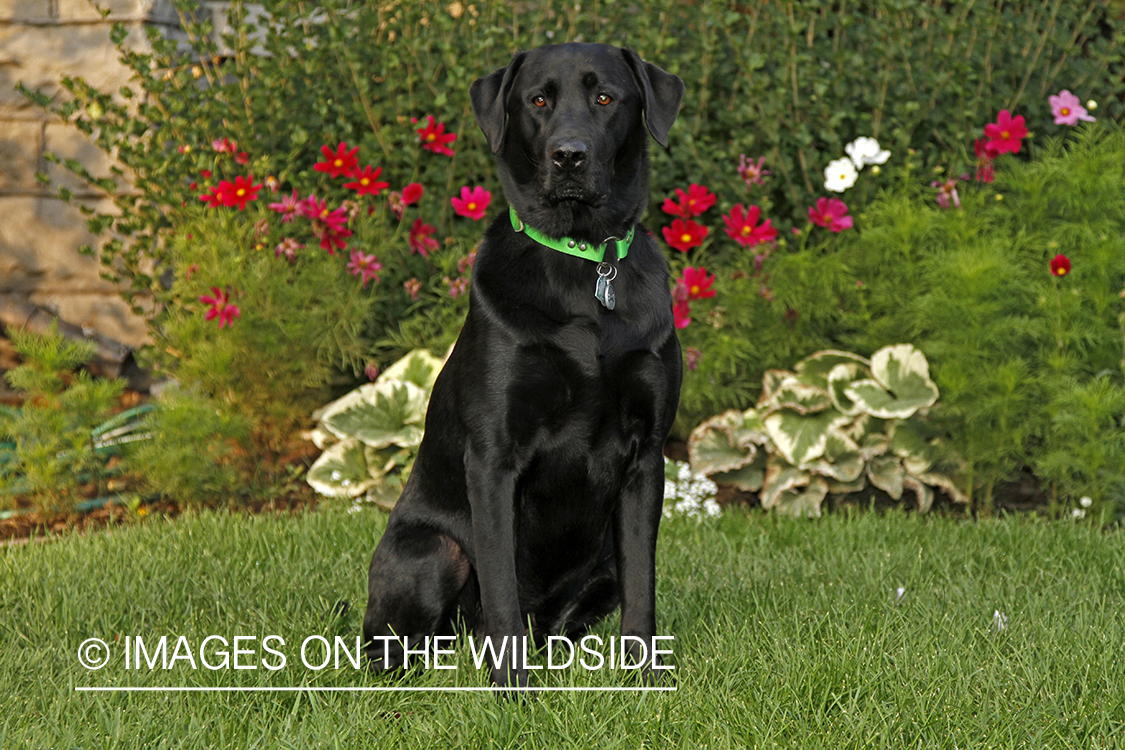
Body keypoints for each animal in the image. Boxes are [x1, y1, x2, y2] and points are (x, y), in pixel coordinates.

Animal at [362, 42, 684, 692]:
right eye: (537, 100)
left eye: (605, 97)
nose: (569, 156)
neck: (585, 268)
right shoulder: (493, 457)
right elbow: (502, 590)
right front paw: (512, 690)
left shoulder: (647, 456)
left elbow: (643, 586)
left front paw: (645, 679)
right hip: (432, 553)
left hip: (600, 565)